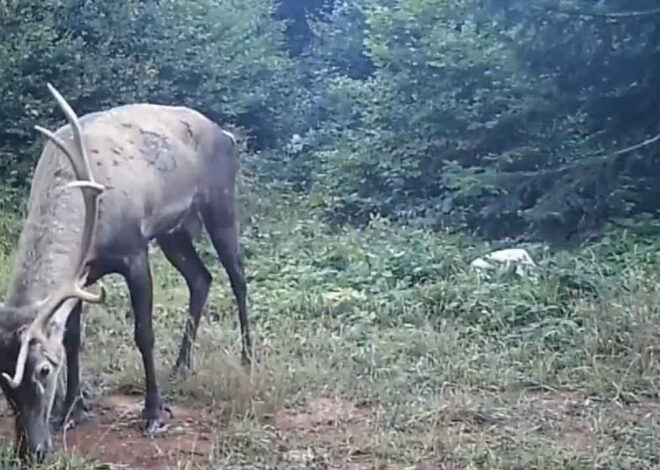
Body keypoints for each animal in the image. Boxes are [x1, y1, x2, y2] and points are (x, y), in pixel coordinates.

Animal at [0, 84, 251, 458]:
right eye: (1, 380)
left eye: (44, 369)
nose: (30, 450)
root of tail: (226, 135)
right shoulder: (83, 275)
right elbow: (73, 338)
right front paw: (72, 409)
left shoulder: (134, 252)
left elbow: (144, 334)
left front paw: (153, 414)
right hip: (173, 232)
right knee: (201, 278)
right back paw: (181, 365)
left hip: (220, 202)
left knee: (238, 277)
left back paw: (248, 359)